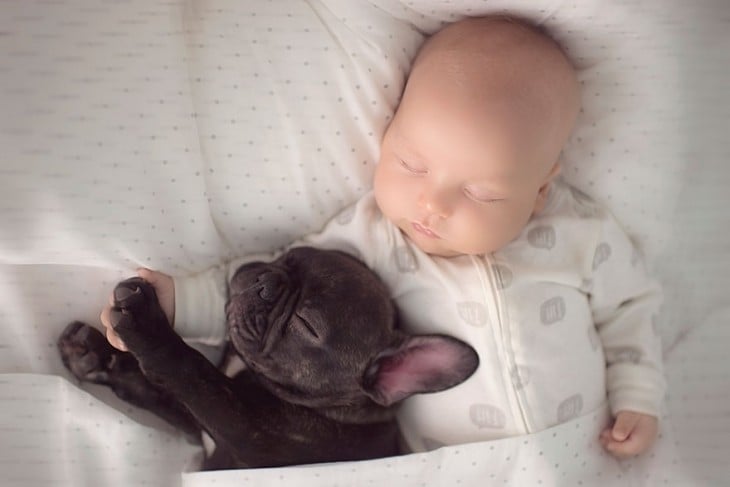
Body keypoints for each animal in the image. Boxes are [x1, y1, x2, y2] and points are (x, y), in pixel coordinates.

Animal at [57, 250, 478, 470]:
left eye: (305, 325)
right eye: (292, 256)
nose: (267, 281)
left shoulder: (244, 429)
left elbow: (191, 371)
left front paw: (146, 324)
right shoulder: (200, 423)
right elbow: (155, 390)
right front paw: (95, 354)